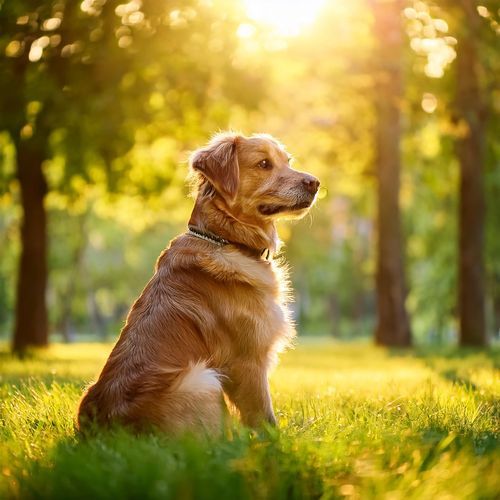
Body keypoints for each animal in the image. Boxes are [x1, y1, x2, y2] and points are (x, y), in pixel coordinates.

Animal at [78, 133, 320, 434]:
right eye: (264, 164)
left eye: (288, 161)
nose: (315, 182)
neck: (225, 239)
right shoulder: (247, 362)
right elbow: (264, 420)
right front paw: (282, 441)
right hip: (202, 378)